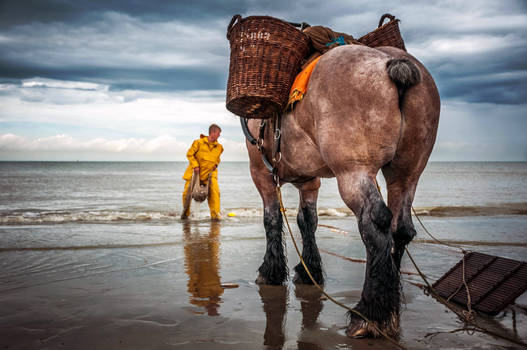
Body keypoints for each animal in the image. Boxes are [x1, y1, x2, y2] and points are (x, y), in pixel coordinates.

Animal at [244, 43, 442, 336]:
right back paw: (390, 308)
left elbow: (272, 219)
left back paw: (370, 313)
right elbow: (307, 220)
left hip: (353, 172)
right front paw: (310, 270)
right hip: (406, 174)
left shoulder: (260, 172)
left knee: (375, 223)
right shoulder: (310, 181)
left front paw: (271, 271)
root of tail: (391, 61)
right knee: (401, 227)